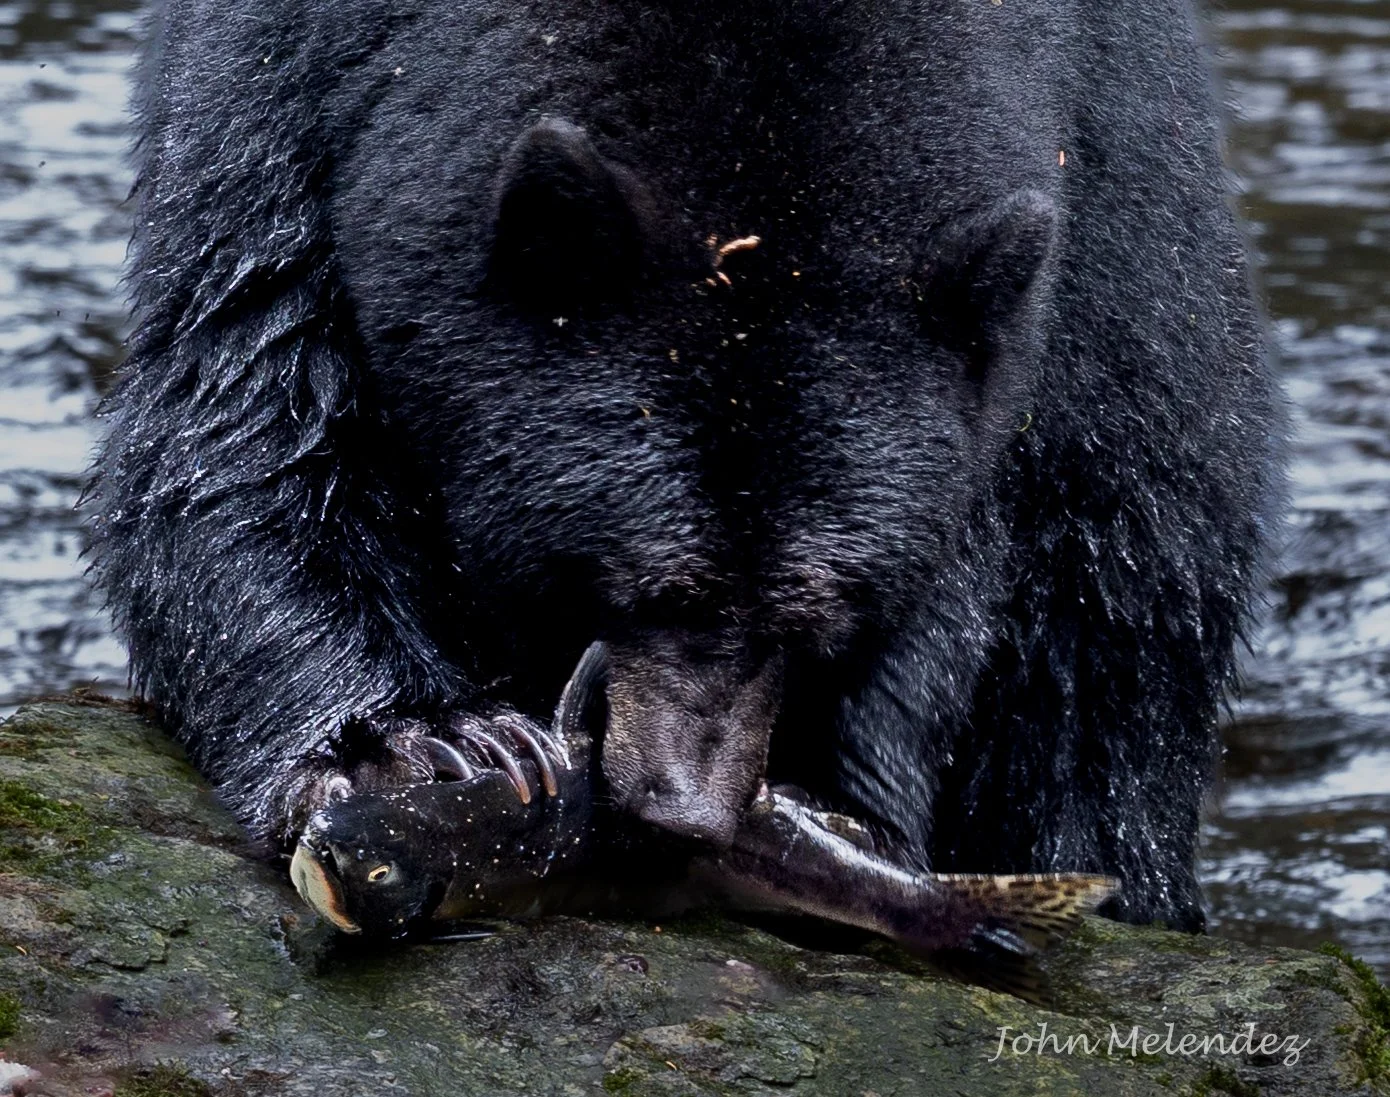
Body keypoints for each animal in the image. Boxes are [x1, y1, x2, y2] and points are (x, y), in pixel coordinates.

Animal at [89, 0, 1283, 931]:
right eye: (642, 586)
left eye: (818, 619)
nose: (685, 812)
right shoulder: (295, 87)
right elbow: (247, 407)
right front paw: (427, 746)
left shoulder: (1035, 302)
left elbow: (967, 562)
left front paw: (839, 805)